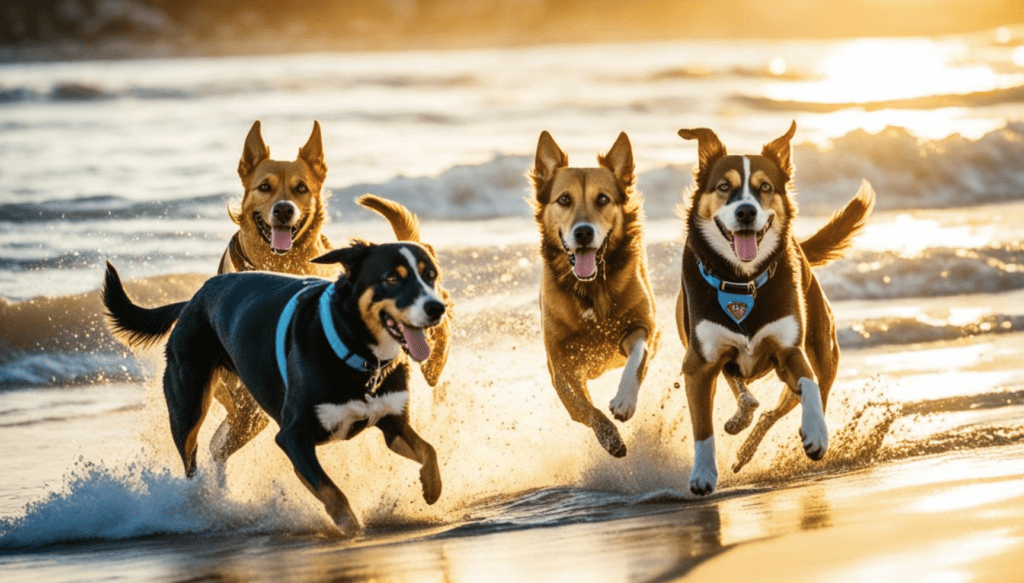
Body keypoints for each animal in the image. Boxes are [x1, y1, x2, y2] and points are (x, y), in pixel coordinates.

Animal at [100, 235, 448, 532]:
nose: (436, 308)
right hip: (188, 405)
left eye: (431, 275)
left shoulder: (392, 423)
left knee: (217, 447)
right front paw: (353, 529)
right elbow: (331, 491)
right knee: (191, 457)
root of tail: (193, 300)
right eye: (392, 279)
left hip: (248, 416)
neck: (357, 351)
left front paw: (432, 488)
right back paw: (202, 505)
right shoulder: (293, 436)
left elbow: (429, 450)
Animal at [532, 129, 659, 456]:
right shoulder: (560, 366)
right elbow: (586, 410)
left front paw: (625, 401)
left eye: (602, 198)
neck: (591, 286)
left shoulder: (644, 327)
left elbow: (638, 357)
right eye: (564, 199)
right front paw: (610, 436)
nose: (583, 232)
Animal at [675, 120, 876, 493]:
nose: (746, 211)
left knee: (793, 399)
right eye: (724, 187)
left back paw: (754, 444)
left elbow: (808, 384)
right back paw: (741, 422)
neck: (741, 282)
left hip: (824, 353)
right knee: (744, 393)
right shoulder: (699, 363)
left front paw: (816, 433)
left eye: (765, 187)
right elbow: (702, 426)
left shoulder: (790, 350)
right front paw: (703, 474)